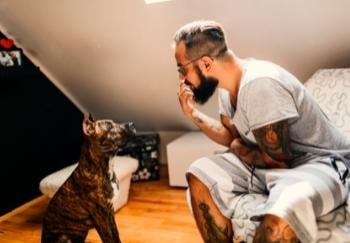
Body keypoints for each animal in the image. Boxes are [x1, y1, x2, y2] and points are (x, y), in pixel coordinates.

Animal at [40, 114, 135, 243]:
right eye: (109, 126)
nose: (132, 124)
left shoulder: (109, 212)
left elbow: (116, 235)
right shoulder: (101, 216)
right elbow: (109, 238)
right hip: (64, 237)